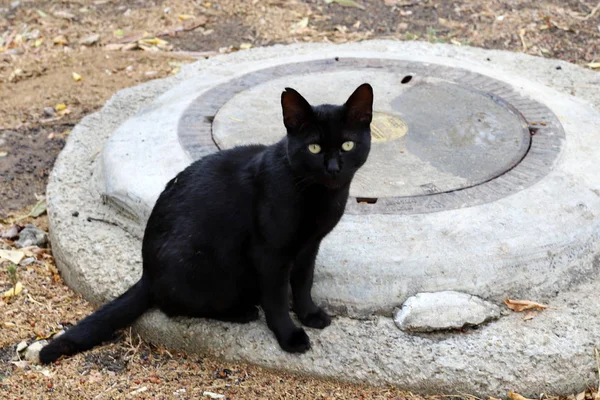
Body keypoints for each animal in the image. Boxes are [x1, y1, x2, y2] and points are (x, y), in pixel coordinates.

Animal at [39, 82, 372, 362]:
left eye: (347, 145)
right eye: (314, 147)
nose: (333, 168)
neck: (320, 196)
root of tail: (147, 274)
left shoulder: (308, 247)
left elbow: (303, 284)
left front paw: (310, 314)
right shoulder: (270, 254)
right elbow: (277, 299)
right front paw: (289, 336)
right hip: (206, 267)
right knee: (176, 305)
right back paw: (242, 312)